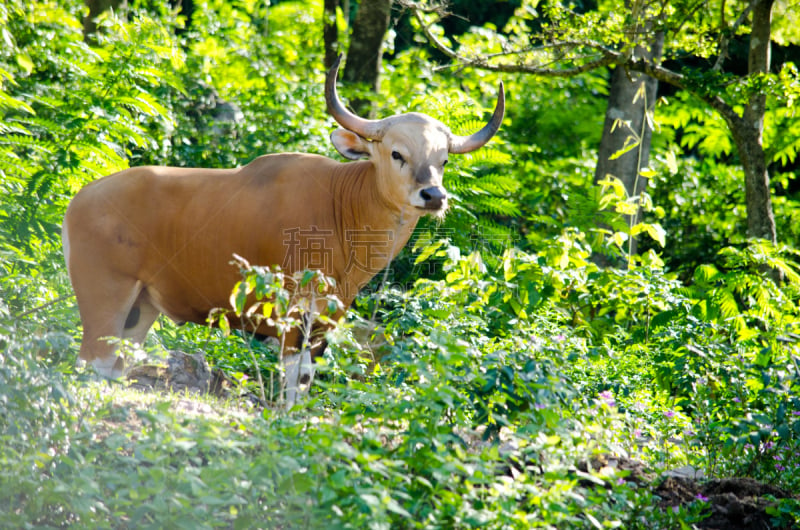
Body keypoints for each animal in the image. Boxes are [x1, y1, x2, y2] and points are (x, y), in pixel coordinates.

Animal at [61, 54, 506, 400]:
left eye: (443, 160)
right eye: (397, 153)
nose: (433, 195)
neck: (342, 210)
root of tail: (81, 198)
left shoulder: (332, 313)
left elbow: (310, 374)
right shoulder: (294, 307)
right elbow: (297, 374)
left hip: (140, 309)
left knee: (116, 366)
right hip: (105, 296)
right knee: (91, 363)